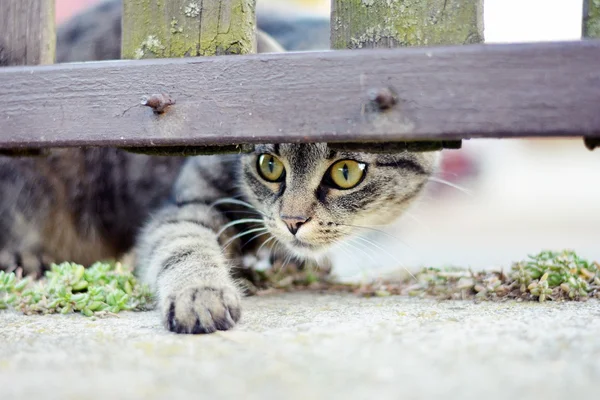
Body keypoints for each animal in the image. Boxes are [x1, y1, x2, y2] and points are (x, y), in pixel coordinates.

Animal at [2, 0, 438, 332]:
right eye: (269, 165)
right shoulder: (189, 204)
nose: (293, 221)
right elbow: (184, 245)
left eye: (346, 172)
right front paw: (200, 295)